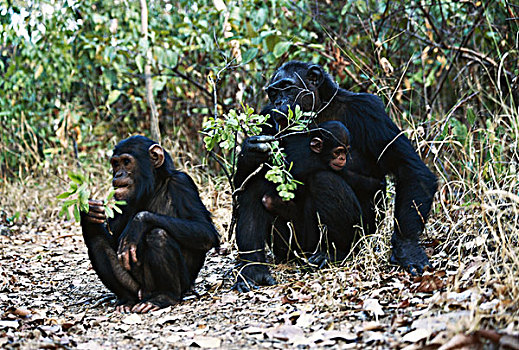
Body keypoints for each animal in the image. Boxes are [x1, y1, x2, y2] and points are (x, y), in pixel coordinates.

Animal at [80, 135, 219, 314]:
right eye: (115, 163)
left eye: (126, 162)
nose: (118, 174)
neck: (153, 186)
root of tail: (145, 294)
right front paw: (89, 213)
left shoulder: (183, 183)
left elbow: (205, 231)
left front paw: (138, 222)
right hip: (135, 287)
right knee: (97, 242)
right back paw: (127, 300)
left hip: (179, 287)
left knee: (158, 235)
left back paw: (163, 297)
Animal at [236, 61, 438, 292]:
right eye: (273, 93)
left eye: (287, 87)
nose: (278, 101)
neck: (317, 110)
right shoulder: (267, 117)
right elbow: (244, 181)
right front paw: (252, 149)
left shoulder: (369, 111)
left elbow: (408, 168)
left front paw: (408, 249)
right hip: (288, 247)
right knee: (256, 184)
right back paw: (253, 270)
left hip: (351, 239)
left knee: (324, 180)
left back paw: (334, 253)